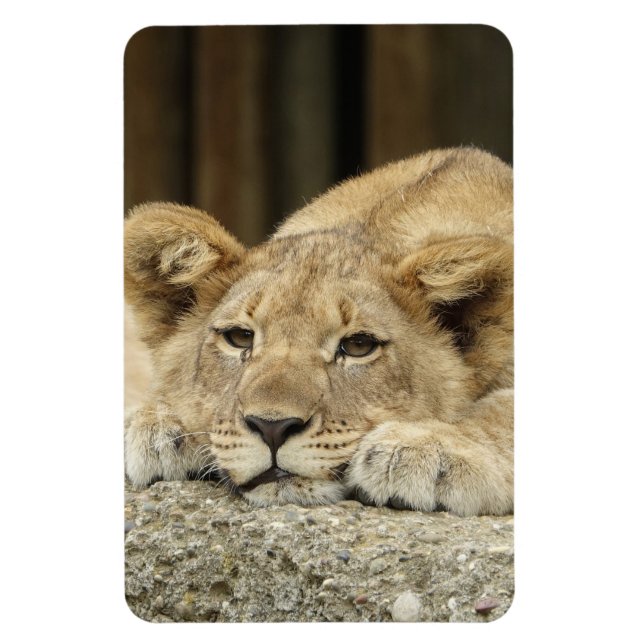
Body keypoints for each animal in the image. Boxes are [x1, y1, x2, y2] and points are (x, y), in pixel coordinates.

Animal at [124, 147, 513, 516]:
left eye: (358, 345)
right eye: (240, 338)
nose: (272, 427)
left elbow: (503, 412)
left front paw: (423, 448)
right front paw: (158, 425)